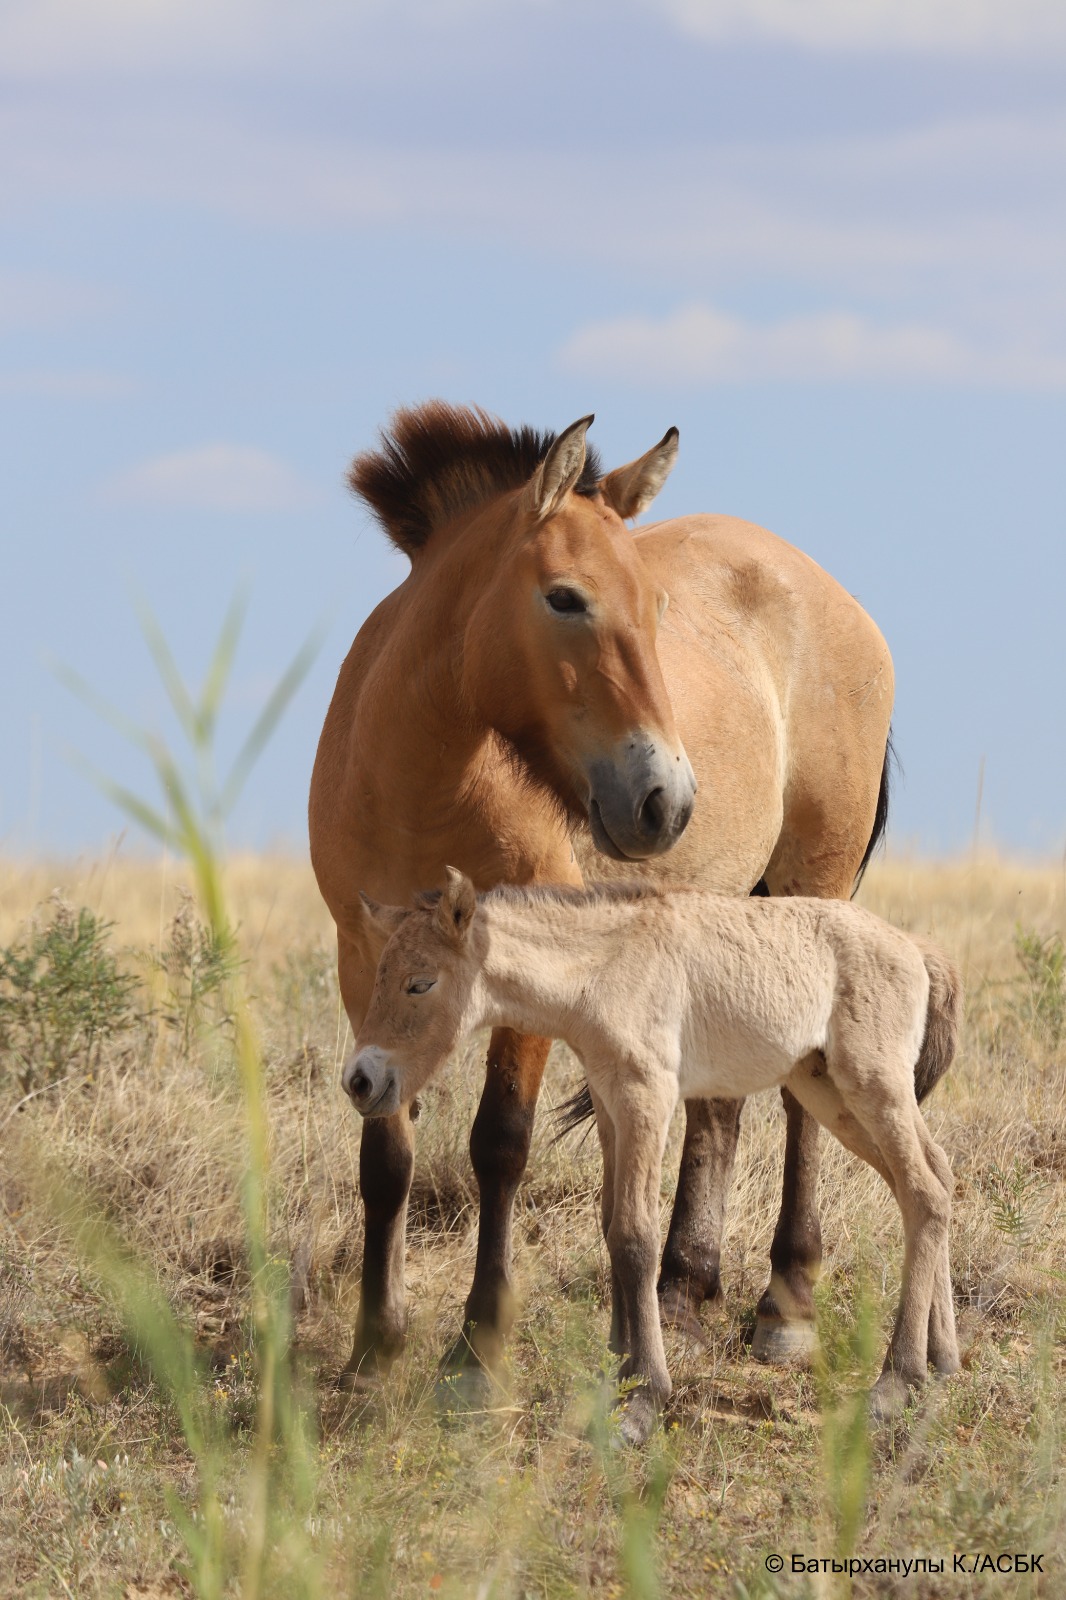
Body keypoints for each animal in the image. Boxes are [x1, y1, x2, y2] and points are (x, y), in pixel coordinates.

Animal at [308, 401, 894, 1391]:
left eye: (657, 608)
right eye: (565, 598)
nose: (666, 801)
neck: (420, 785)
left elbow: (500, 1143)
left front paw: (478, 1352)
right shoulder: (365, 960)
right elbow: (383, 1143)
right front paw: (374, 1349)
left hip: (812, 888)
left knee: (798, 1101)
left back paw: (785, 1308)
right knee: (718, 1104)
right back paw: (684, 1292)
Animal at [345, 870, 962, 1444]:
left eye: (420, 984)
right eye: (376, 978)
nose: (359, 1081)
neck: (604, 968)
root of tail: (916, 949)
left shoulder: (648, 1095)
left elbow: (635, 1237)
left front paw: (643, 1398)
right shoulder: (610, 1103)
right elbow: (610, 1224)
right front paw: (615, 1377)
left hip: (871, 1084)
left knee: (924, 1194)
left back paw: (897, 1380)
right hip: (830, 1092)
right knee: (934, 1179)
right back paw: (944, 1360)